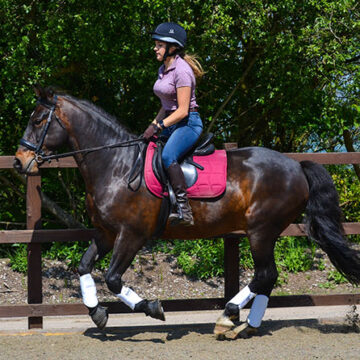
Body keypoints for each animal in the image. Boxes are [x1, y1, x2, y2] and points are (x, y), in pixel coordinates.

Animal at [13, 86, 360, 338]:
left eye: (39, 120)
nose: (19, 161)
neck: (116, 166)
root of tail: (297, 166)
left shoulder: (132, 235)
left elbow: (112, 278)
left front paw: (152, 307)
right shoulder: (107, 233)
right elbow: (84, 267)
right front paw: (97, 313)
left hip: (261, 230)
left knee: (265, 274)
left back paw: (229, 318)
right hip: (264, 232)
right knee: (267, 277)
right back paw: (244, 323)